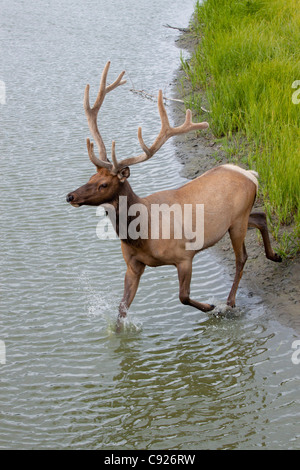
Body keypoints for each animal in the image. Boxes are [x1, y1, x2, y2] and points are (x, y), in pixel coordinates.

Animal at [66, 61, 282, 326]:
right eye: (90, 178)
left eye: (104, 185)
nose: (71, 196)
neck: (143, 235)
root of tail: (250, 174)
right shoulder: (133, 265)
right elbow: (122, 309)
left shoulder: (184, 255)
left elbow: (183, 296)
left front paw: (211, 306)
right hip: (238, 218)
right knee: (261, 217)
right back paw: (274, 256)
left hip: (238, 221)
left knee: (242, 257)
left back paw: (229, 302)